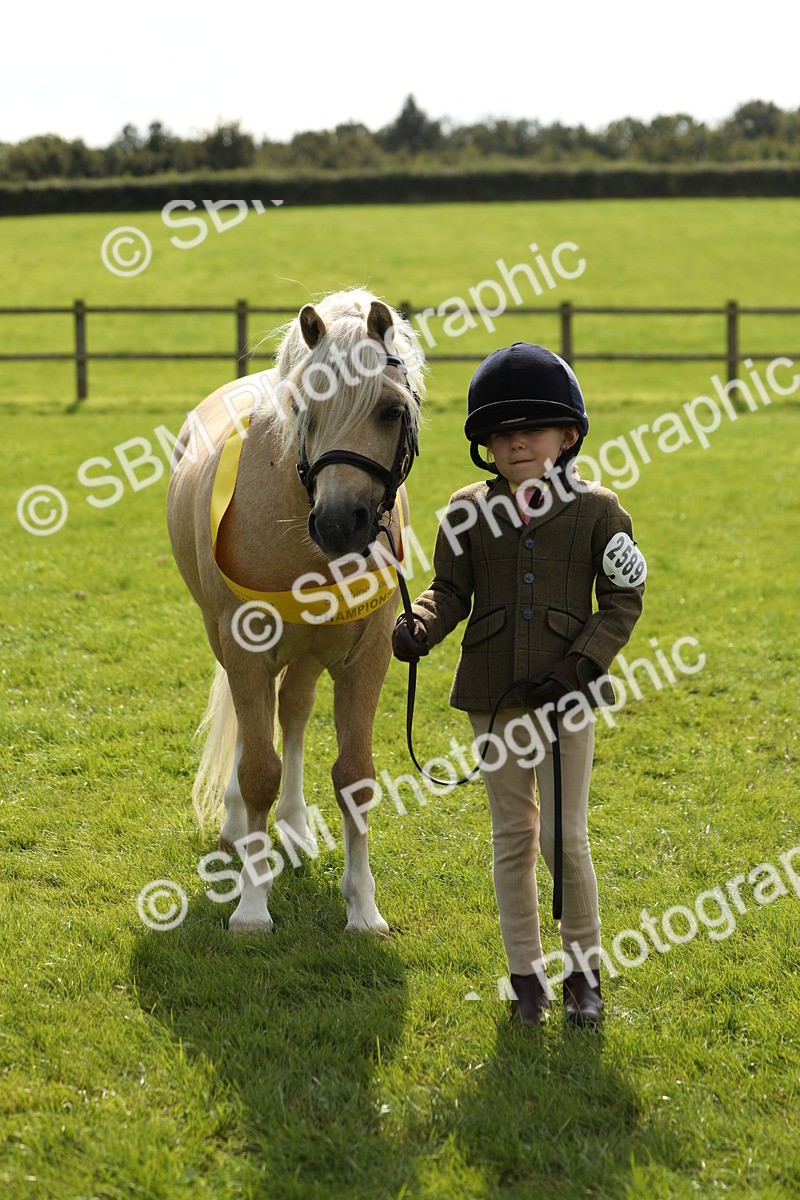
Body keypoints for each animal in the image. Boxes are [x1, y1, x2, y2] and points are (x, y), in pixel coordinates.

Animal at [167, 289, 426, 934]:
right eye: (305, 407)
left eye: (391, 411)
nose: (338, 524)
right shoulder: (246, 650)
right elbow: (259, 769)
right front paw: (252, 905)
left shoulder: (368, 657)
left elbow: (355, 777)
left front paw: (363, 906)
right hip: (225, 641)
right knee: (252, 731)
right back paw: (239, 826)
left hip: (309, 654)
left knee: (296, 711)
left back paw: (295, 825)